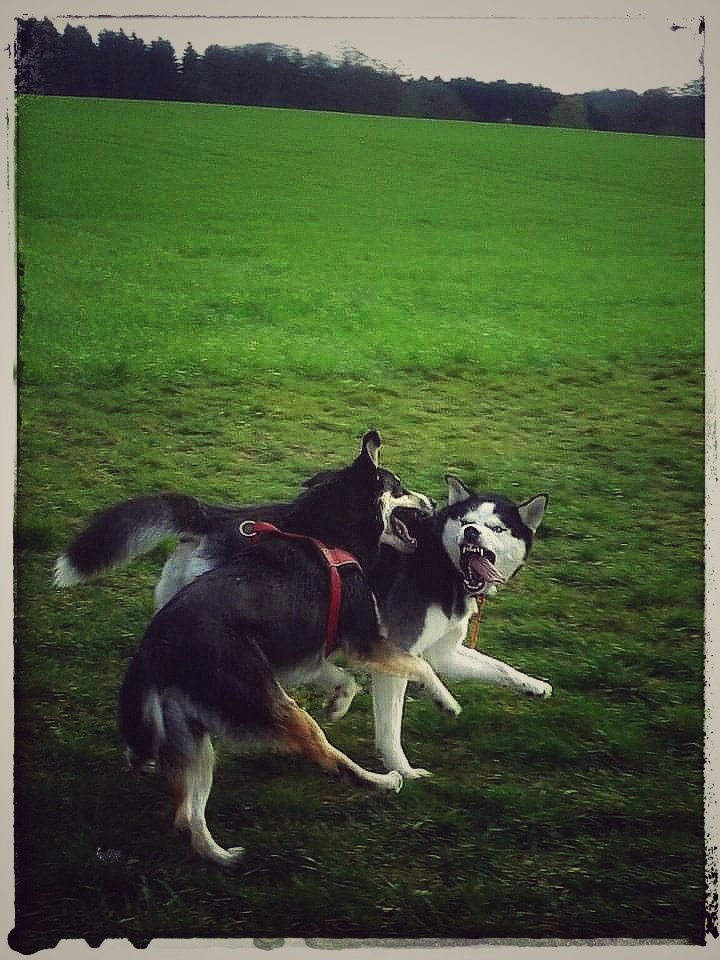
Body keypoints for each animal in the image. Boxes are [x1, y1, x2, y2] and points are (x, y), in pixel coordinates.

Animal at [113, 432, 462, 868]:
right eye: (398, 488)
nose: (430, 500)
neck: (329, 537)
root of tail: (153, 652)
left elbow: (348, 681)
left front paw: (338, 704)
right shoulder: (366, 641)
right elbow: (420, 665)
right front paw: (446, 702)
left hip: (191, 740)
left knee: (186, 817)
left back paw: (224, 857)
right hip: (275, 708)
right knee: (329, 760)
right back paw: (382, 781)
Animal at [372, 476, 552, 776]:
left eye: (497, 528)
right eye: (466, 521)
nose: (471, 533)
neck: (442, 564)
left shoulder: (442, 653)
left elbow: (500, 667)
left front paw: (534, 685)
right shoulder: (395, 654)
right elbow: (389, 729)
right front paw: (404, 771)